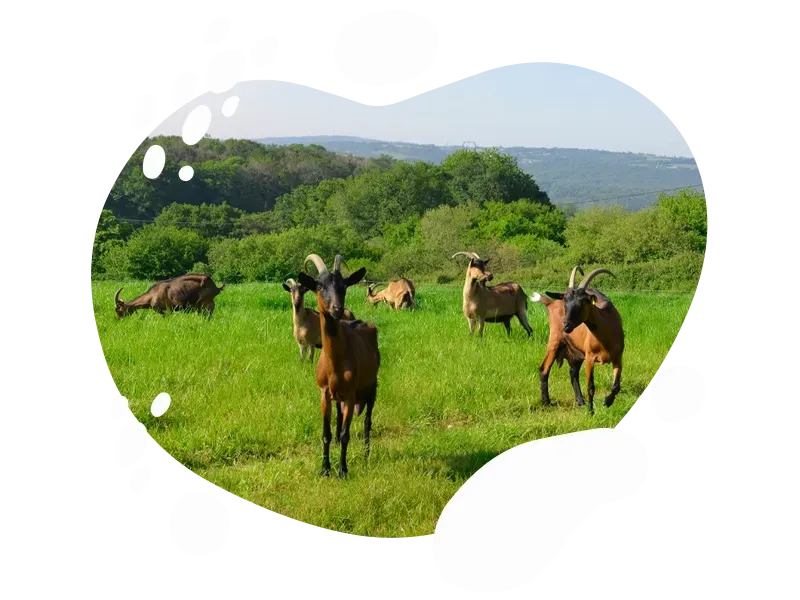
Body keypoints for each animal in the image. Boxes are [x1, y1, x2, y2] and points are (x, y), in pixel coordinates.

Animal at [297, 253, 380, 479]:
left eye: (343, 285)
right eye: (319, 285)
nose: (337, 309)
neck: (335, 360)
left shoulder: (351, 395)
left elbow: (345, 434)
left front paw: (342, 470)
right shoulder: (325, 394)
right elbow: (326, 432)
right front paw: (325, 469)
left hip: (372, 388)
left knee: (367, 421)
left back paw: (367, 454)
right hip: (338, 398)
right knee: (338, 418)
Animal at [530, 266, 624, 415]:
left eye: (582, 301)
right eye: (566, 301)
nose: (566, 325)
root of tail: (551, 302)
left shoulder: (618, 357)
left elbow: (616, 386)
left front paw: (607, 402)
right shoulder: (590, 357)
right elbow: (590, 386)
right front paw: (591, 412)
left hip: (576, 351)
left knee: (573, 372)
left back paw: (580, 401)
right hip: (555, 341)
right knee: (544, 369)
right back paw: (547, 402)